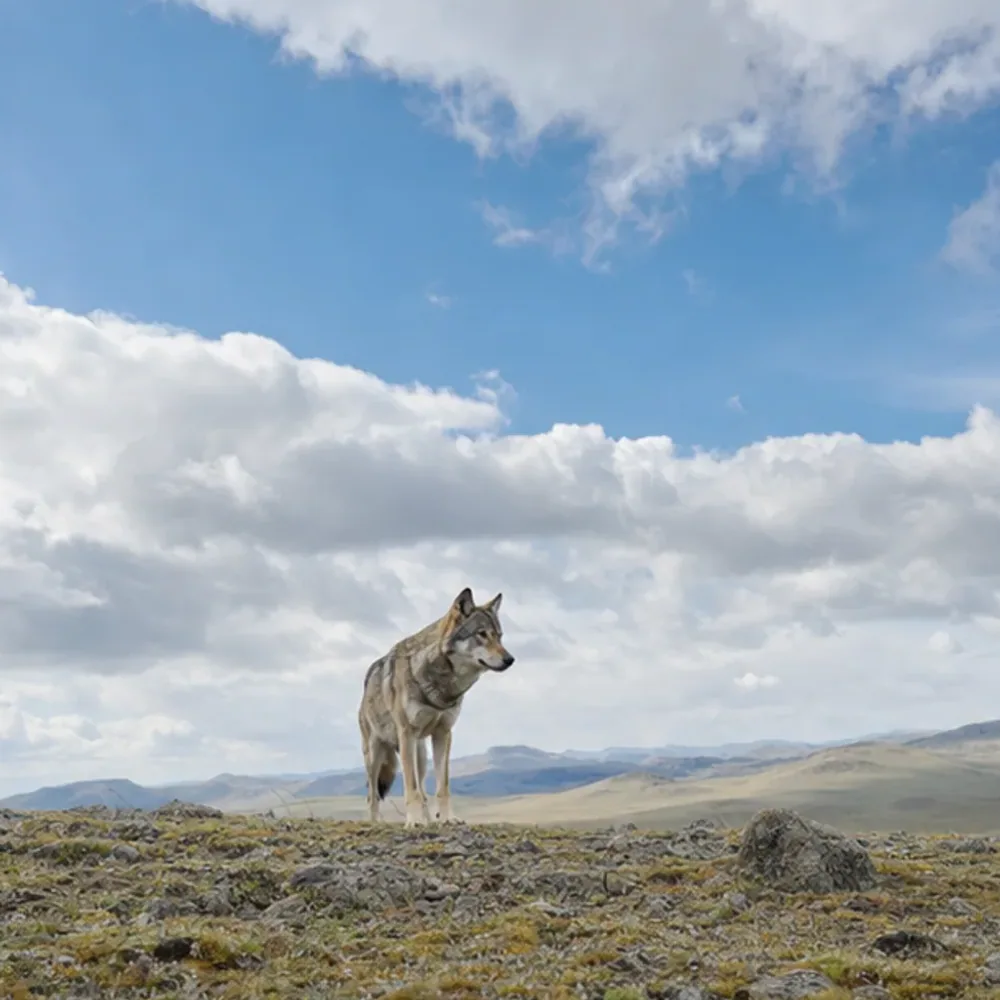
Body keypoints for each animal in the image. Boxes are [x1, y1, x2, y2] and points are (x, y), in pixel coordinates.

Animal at [357, 587, 515, 828]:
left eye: (499, 636)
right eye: (481, 634)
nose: (510, 659)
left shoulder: (443, 733)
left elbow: (442, 787)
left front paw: (447, 818)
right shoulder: (407, 734)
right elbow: (410, 789)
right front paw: (413, 822)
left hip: (420, 755)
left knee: (423, 792)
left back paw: (430, 820)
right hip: (376, 754)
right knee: (373, 794)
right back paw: (375, 823)